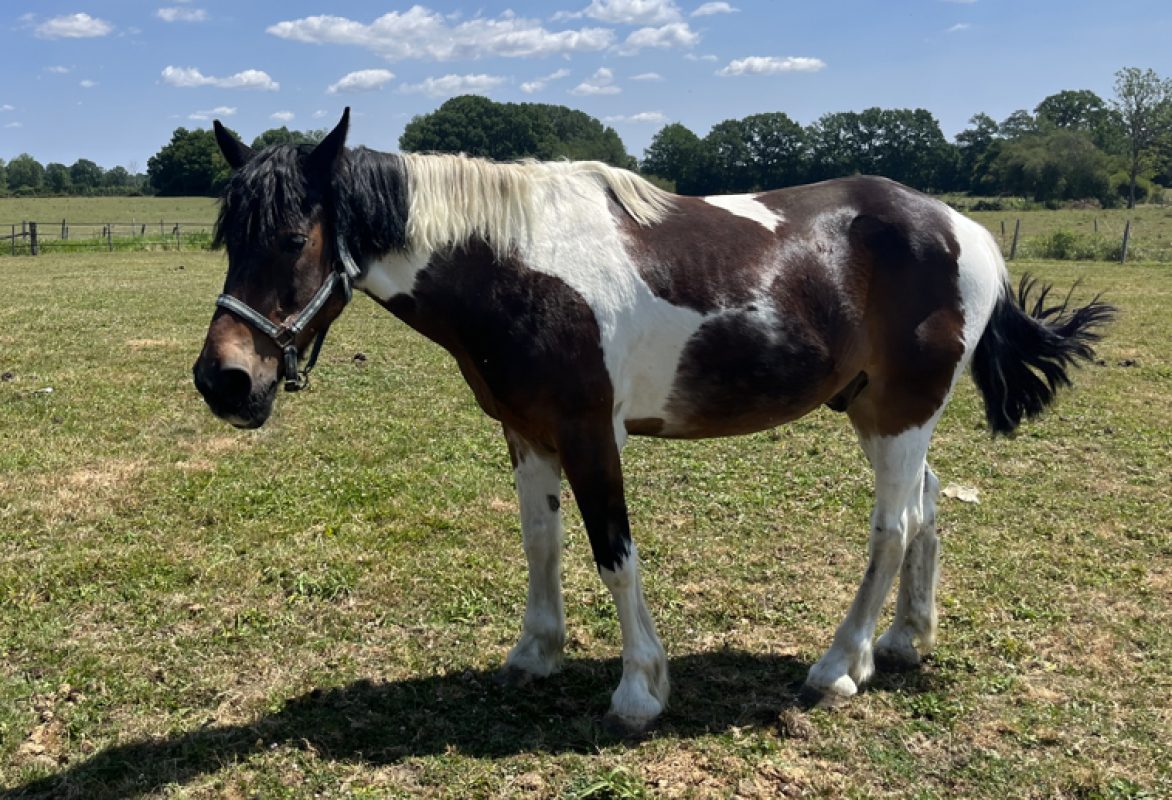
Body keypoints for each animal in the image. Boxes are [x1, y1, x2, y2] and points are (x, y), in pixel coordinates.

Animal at [193, 108, 1113, 733]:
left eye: (292, 236)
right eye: (227, 237)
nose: (225, 381)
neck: (518, 262)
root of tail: (965, 229)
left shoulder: (590, 431)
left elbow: (613, 555)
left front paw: (640, 688)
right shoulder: (525, 430)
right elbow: (541, 541)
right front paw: (535, 654)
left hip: (900, 413)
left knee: (892, 528)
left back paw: (838, 665)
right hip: (879, 411)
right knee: (926, 510)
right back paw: (903, 641)